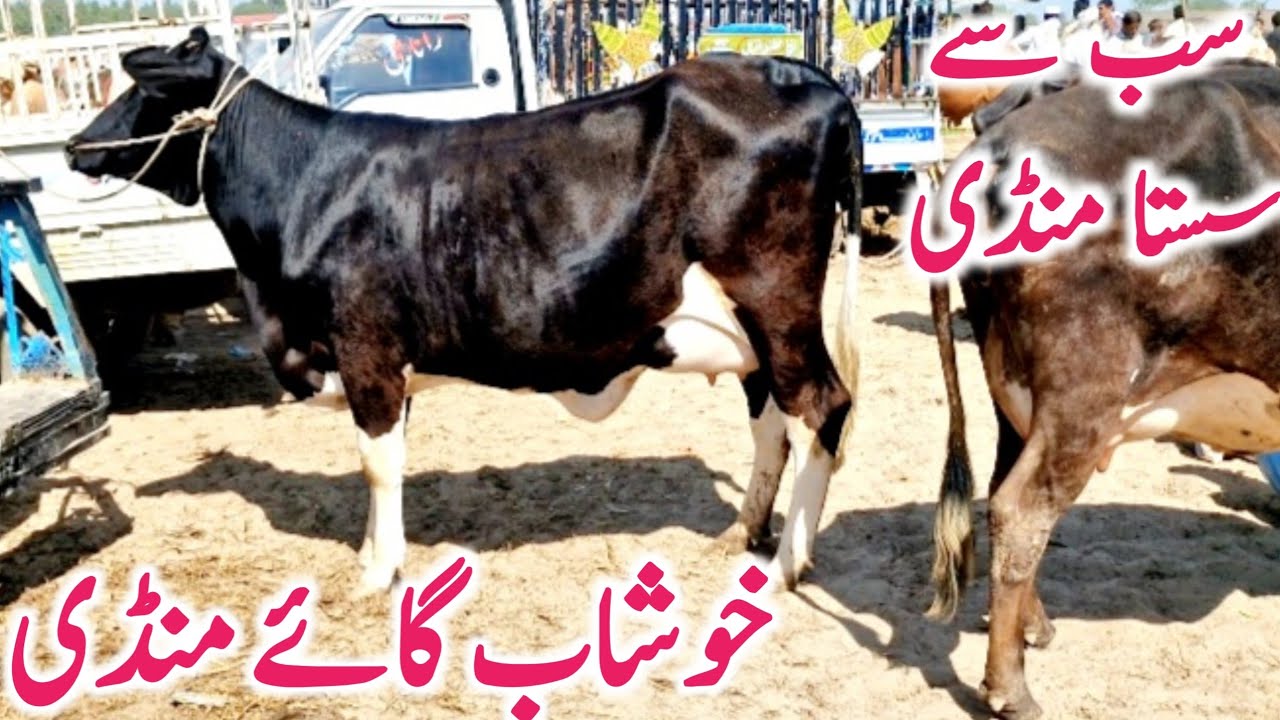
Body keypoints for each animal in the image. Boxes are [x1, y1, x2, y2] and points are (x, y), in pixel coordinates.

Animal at [65, 27, 864, 598]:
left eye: (141, 90)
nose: (75, 145)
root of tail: (801, 74)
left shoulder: (366, 347)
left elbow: (377, 463)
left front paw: (376, 573)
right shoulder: (383, 362)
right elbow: (383, 461)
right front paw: (372, 552)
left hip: (776, 299)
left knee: (824, 406)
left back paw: (788, 563)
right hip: (752, 331)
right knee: (771, 420)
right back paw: (743, 533)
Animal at [922, 60, 1280, 719]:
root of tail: (994, 145)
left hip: (1018, 394)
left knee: (1003, 494)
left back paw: (1032, 629)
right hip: (1082, 395)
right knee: (1021, 509)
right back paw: (1010, 689)